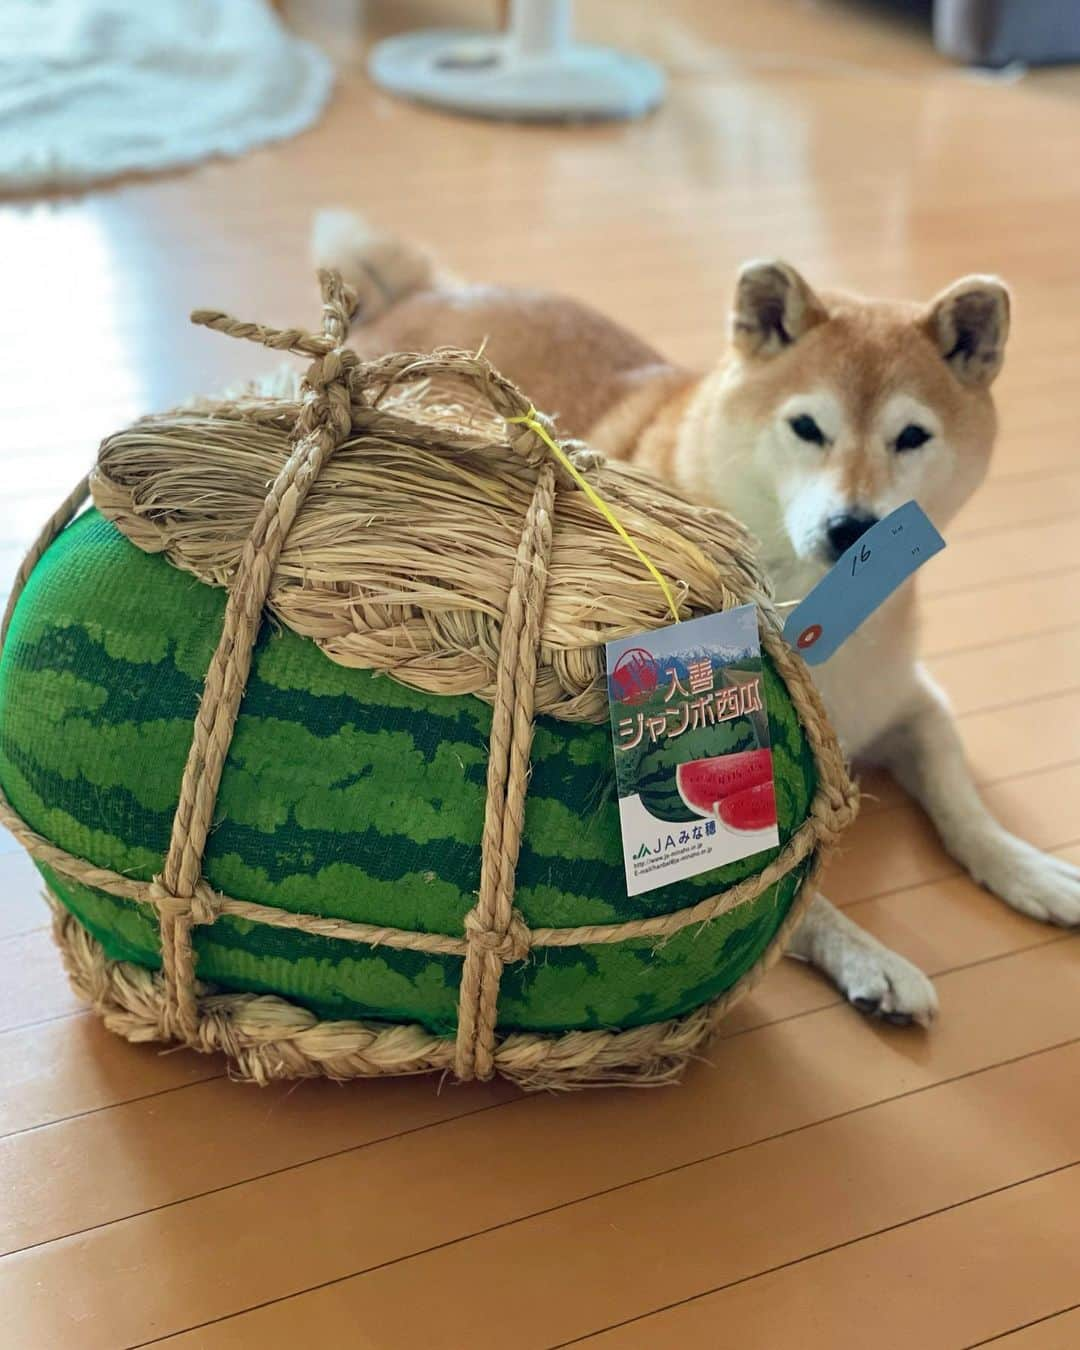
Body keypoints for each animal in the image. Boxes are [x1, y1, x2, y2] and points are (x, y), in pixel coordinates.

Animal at [318, 213, 1080, 1020]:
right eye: (807, 427)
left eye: (912, 437)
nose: (852, 528)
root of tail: (414, 296)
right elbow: (790, 893)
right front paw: (869, 956)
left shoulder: (909, 699)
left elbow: (962, 800)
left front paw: (1028, 868)